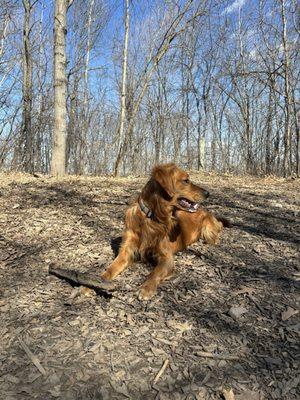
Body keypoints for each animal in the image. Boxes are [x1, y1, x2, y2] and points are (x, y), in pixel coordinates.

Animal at [101, 163, 227, 300]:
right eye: (186, 180)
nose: (208, 193)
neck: (152, 217)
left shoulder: (167, 257)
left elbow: (155, 273)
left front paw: (146, 288)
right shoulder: (127, 250)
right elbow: (112, 267)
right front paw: (99, 280)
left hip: (208, 229)